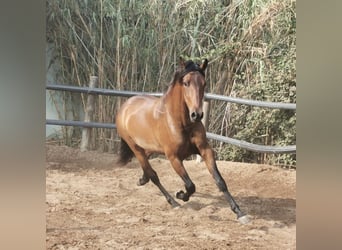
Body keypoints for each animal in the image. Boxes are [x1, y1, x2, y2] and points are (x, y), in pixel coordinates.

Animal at [115, 57, 248, 224]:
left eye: (204, 83)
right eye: (186, 83)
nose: (197, 115)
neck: (182, 123)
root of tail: (125, 107)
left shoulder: (205, 150)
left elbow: (220, 181)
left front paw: (240, 213)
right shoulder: (174, 158)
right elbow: (190, 185)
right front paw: (181, 195)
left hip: (149, 147)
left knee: (147, 167)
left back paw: (142, 180)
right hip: (135, 147)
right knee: (153, 175)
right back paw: (173, 202)